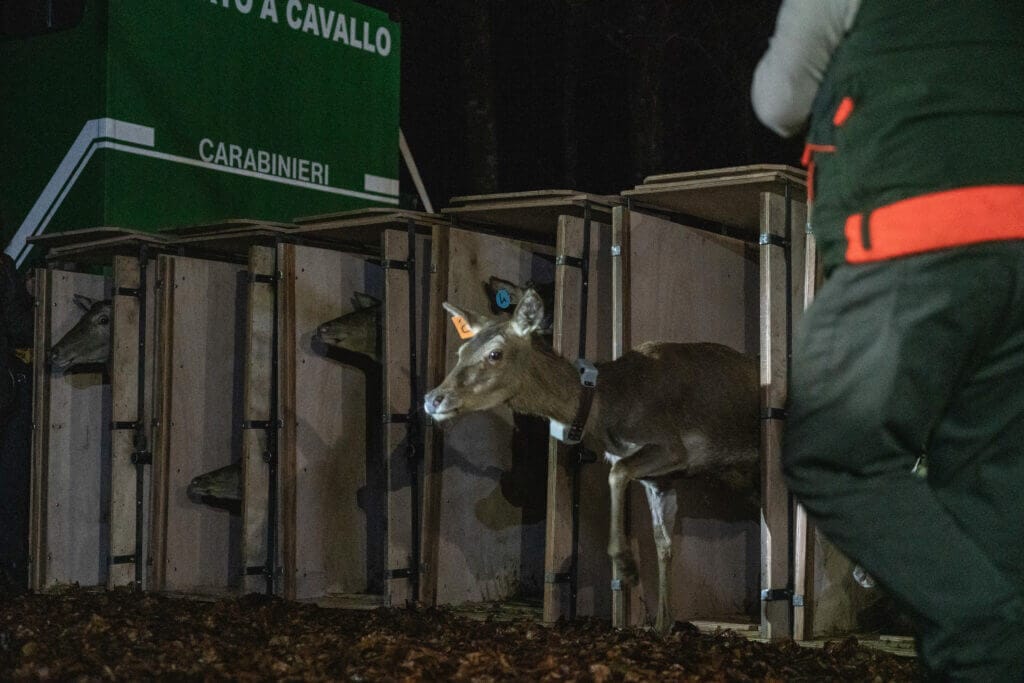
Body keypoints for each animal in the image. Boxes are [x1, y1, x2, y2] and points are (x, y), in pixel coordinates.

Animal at [423, 288, 761, 634]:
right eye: (460, 351)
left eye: (495, 353)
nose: (433, 399)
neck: (607, 409)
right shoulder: (660, 478)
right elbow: (663, 542)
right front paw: (662, 625)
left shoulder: (671, 446)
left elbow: (617, 472)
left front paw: (625, 566)